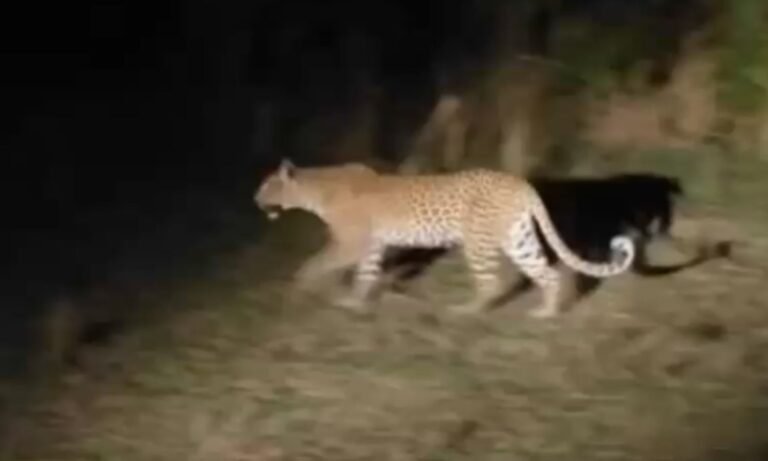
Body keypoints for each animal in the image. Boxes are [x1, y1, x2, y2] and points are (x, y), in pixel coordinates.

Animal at [254, 159, 635, 318]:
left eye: (267, 185)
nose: (255, 200)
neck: (313, 192)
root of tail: (521, 183)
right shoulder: (372, 245)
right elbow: (366, 274)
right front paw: (355, 304)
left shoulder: (352, 242)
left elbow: (317, 262)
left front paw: (301, 285)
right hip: (519, 237)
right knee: (548, 272)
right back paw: (547, 313)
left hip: (477, 240)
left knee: (492, 283)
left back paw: (468, 311)